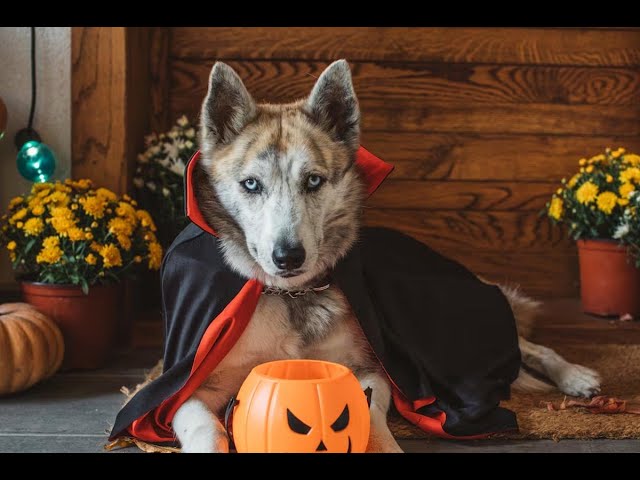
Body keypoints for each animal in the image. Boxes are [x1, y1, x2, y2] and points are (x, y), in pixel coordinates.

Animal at [171, 60, 600, 454]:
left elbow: (366, 413)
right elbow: (206, 428)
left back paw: (576, 377)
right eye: (250, 184)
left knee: (527, 346)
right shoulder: (190, 389)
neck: (293, 296)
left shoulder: (370, 369)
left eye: (313, 180)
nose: (288, 256)